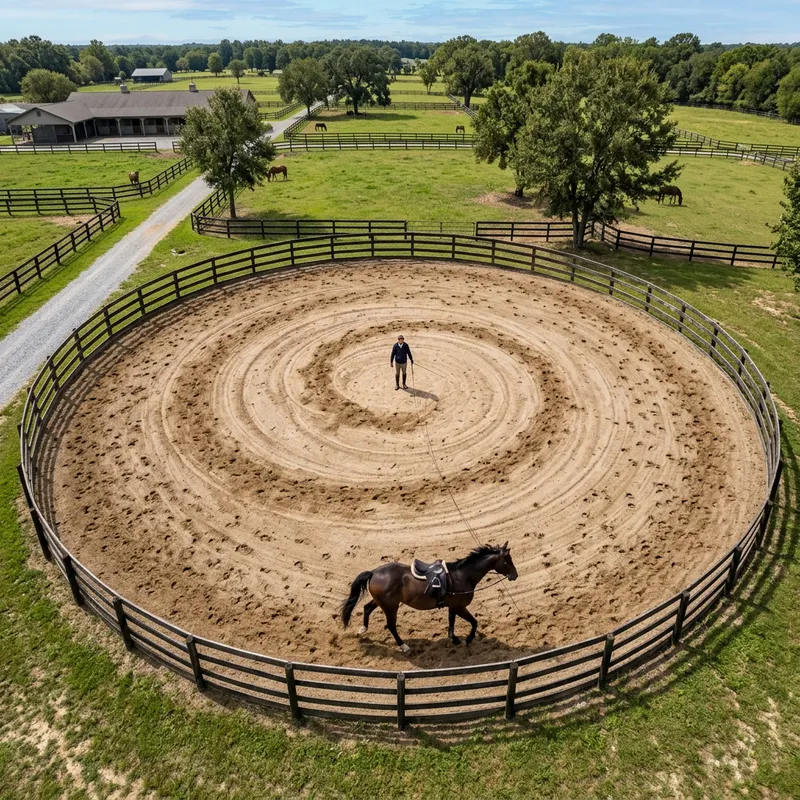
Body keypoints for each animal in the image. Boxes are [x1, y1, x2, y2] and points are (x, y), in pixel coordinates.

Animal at [340, 543, 518, 653]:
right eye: (507, 561)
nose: (515, 576)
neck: (463, 576)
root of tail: (374, 572)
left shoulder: (453, 607)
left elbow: (452, 622)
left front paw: (454, 638)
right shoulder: (460, 607)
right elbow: (474, 622)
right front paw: (468, 639)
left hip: (383, 602)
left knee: (367, 608)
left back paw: (363, 629)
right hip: (391, 607)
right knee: (391, 625)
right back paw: (403, 646)